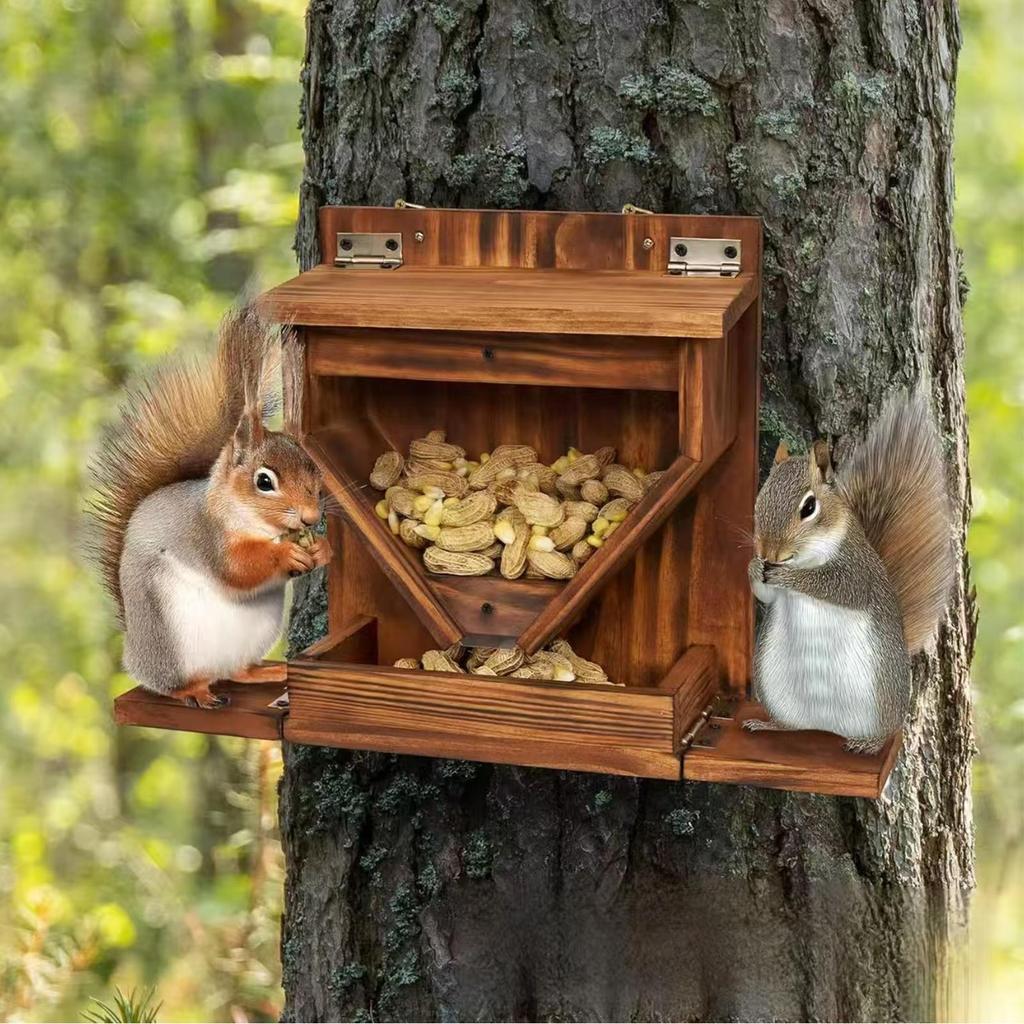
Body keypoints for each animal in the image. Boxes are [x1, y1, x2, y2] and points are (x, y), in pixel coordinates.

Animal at [88, 307, 331, 709]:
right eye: (264, 481)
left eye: (314, 469)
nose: (311, 517)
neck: (252, 522)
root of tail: (135, 654)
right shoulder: (206, 536)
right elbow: (237, 568)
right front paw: (285, 555)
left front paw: (322, 549)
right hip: (170, 640)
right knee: (174, 683)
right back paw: (196, 692)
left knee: (237, 671)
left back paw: (267, 672)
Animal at [746, 393, 954, 754]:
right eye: (760, 498)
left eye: (809, 507)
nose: (769, 553)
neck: (805, 557)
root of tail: (828, 727)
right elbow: (767, 595)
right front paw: (755, 567)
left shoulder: (858, 571)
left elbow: (837, 587)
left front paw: (791, 577)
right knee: (794, 726)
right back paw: (770, 725)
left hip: (882, 700)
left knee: (887, 731)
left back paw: (868, 745)